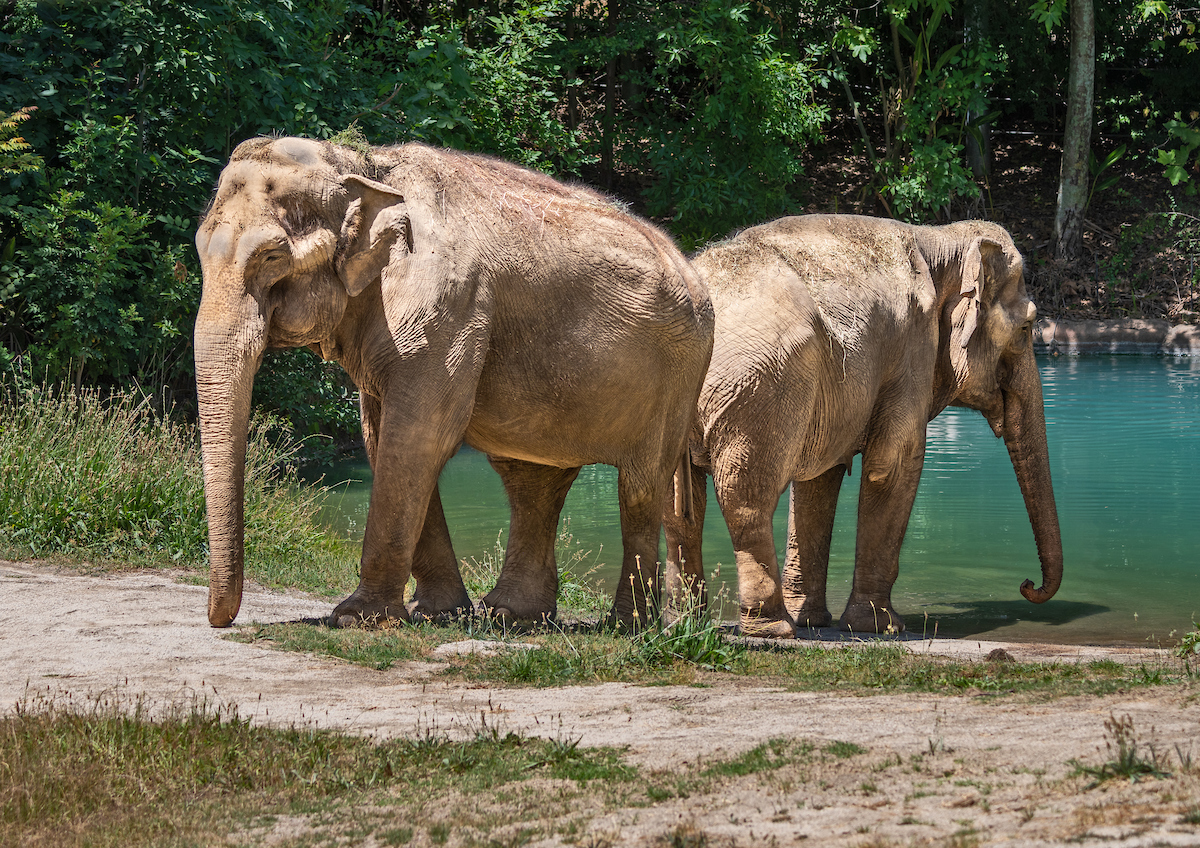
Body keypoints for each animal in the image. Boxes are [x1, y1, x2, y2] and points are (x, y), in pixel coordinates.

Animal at [195, 137, 710, 628]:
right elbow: (382, 437)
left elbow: (419, 437)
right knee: (532, 480)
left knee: (640, 489)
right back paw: (511, 616)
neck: (363, 165)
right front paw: (438, 614)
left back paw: (626, 627)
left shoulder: (448, 308)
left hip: (678, 377)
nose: (222, 621)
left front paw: (356, 618)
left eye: (271, 256)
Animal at [667, 212, 1070, 638]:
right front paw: (882, 627)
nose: (1027, 584)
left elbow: (819, 479)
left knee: (677, 508)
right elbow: (893, 465)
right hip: (761, 389)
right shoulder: (913, 349)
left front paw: (815, 621)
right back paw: (772, 628)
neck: (939, 240)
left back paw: (684, 624)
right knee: (746, 499)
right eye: (1026, 329)